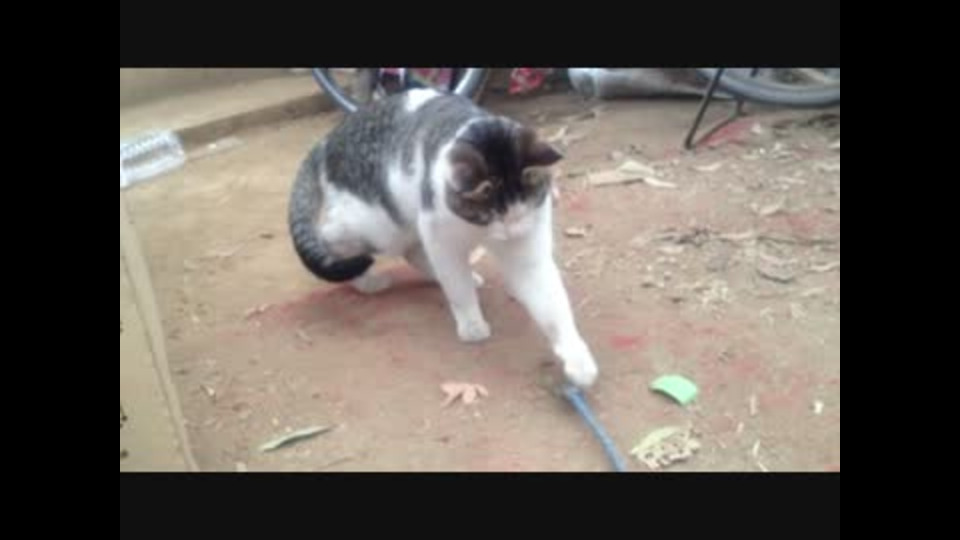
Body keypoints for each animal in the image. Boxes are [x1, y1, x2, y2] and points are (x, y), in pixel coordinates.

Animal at [288, 88, 598, 387]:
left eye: (524, 209)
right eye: (491, 214)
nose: (512, 232)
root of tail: (327, 140)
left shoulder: (528, 251)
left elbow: (552, 304)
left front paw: (577, 357)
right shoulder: (440, 236)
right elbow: (457, 286)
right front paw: (472, 324)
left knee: (412, 252)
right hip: (379, 224)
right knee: (331, 237)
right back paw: (366, 280)